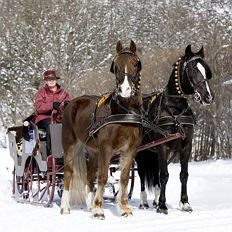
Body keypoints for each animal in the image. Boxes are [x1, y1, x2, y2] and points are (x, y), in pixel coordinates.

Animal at [60, 40, 142, 219]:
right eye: (116, 66)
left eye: (135, 64)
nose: (125, 90)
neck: (124, 113)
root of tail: (72, 103)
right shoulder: (106, 148)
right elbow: (103, 177)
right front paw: (98, 209)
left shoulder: (130, 149)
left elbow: (124, 178)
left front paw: (124, 208)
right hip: (70, 144)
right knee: (69, 172)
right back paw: (65, 207)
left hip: (93, 150)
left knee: (90, 176)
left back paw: (89, 206)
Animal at [136, 44, 214, 215]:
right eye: (193, 69)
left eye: (205, 70)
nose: (208, 97)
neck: (175, 109)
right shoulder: (162, 146)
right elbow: (164, 175)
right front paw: (162, 206)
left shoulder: (187, 146)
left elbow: (183, 175)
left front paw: (184, 203)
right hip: (140, 152)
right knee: (141, 173)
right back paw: (144, 202)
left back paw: (154, 201)